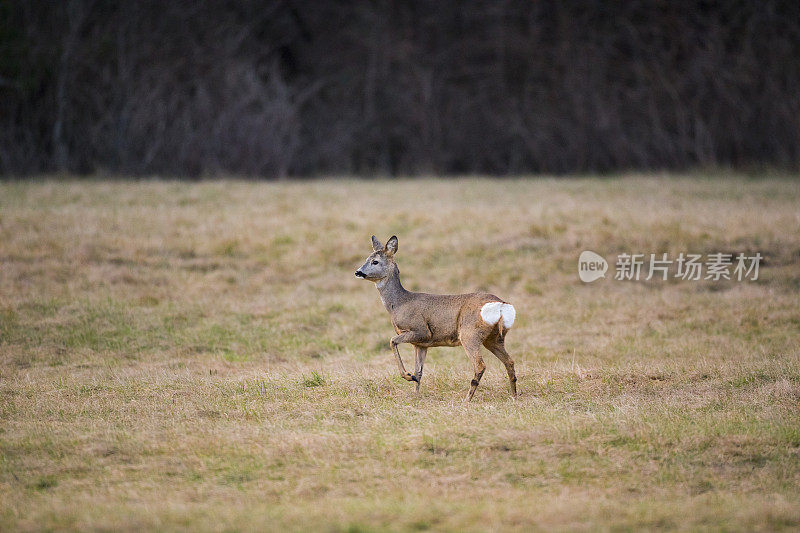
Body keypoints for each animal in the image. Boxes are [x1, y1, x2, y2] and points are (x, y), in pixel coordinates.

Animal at [356, 233, 520, 400]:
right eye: (366, 259)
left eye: (375, 261)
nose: (358, 272)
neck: (398, 303)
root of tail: (501, 305)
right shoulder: (421, 344)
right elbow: (419, 372)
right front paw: (415, 393)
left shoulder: (420, 331)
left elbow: (392, 341)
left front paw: (407, 376)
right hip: (494, 338)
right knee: (509, 361)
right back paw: (514, 395)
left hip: (469, 334)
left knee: (480, 365)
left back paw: (467, 399)